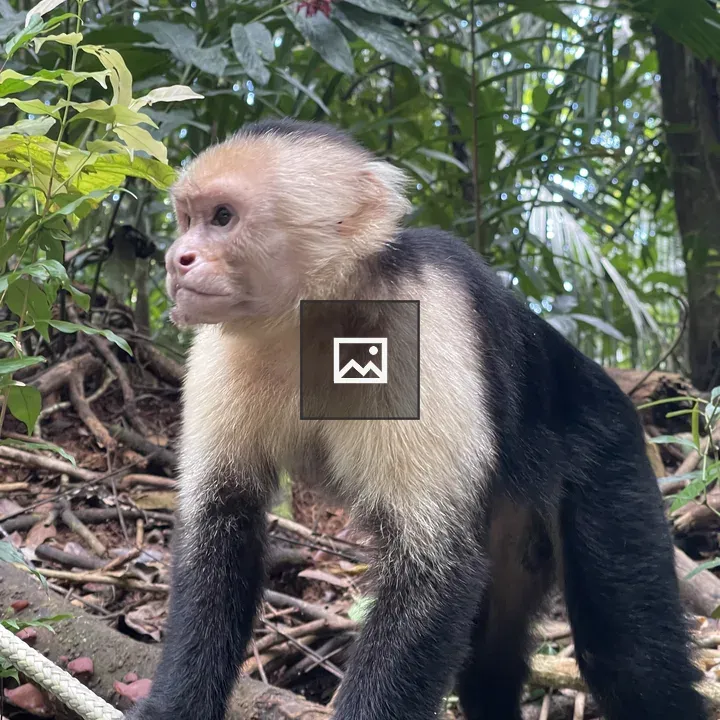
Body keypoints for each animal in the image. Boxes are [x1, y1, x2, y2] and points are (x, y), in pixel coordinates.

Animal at [126, 119, 708, 720]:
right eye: (186, 219)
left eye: (223, 217)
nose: (176, 257)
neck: (316, 314)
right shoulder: (220, 349)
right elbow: (221, 527)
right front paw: (172, 708)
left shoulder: (421, 320)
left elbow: (434, 570)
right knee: (492, 658)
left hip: (609, 451)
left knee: (628, 655)